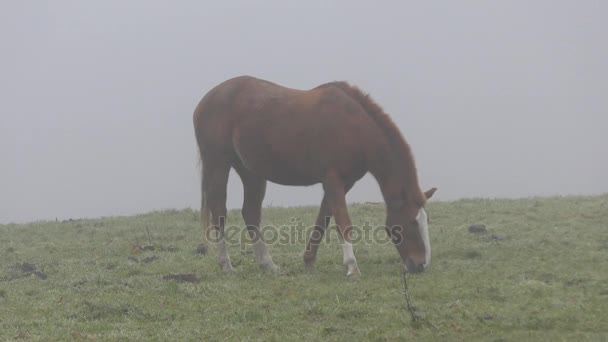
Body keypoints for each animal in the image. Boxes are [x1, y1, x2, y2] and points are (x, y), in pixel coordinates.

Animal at [192, 75, 434, 276]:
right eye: (412, 222)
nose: (421, 264)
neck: (352, 127)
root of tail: (203, 103)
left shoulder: (341, 183)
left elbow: (323, 219)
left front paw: (309, 260)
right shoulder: (333, 180)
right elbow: (343, 222)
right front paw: (352, 266)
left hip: (251, 173)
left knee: (251, 213)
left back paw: (267, 264)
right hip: (218, 165)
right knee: (219, 212)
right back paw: (226, 264)